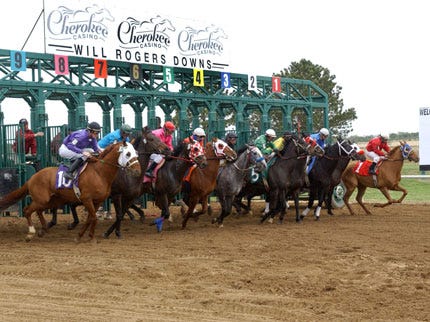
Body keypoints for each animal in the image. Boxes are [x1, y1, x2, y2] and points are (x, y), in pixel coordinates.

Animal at [0, 141, 139, 242]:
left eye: (136, 153)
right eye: (127, 154)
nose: (138, 170)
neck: (99, 173)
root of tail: (32, 178)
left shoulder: (98, 201)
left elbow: (90, 218)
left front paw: (84, 235)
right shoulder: (86, 199)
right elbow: (93, 217)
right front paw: (86, 236)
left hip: (52, 201)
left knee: (38, 211)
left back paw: (43, 230)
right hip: (42, 199)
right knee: (27, 210)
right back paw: (31, 233)